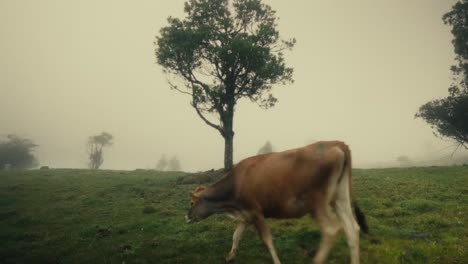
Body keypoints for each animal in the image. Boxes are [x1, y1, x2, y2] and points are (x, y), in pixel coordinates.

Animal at [185, 141, 368, 262]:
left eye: (192, 203)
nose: (186, 217)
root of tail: (336, 143)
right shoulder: (246, 214)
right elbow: (236, 235)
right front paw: (230, 255)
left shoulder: (255, 211)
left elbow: (266, 240)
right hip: (340, 198)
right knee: (353, 229)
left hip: (317, 203)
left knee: (331, 229)